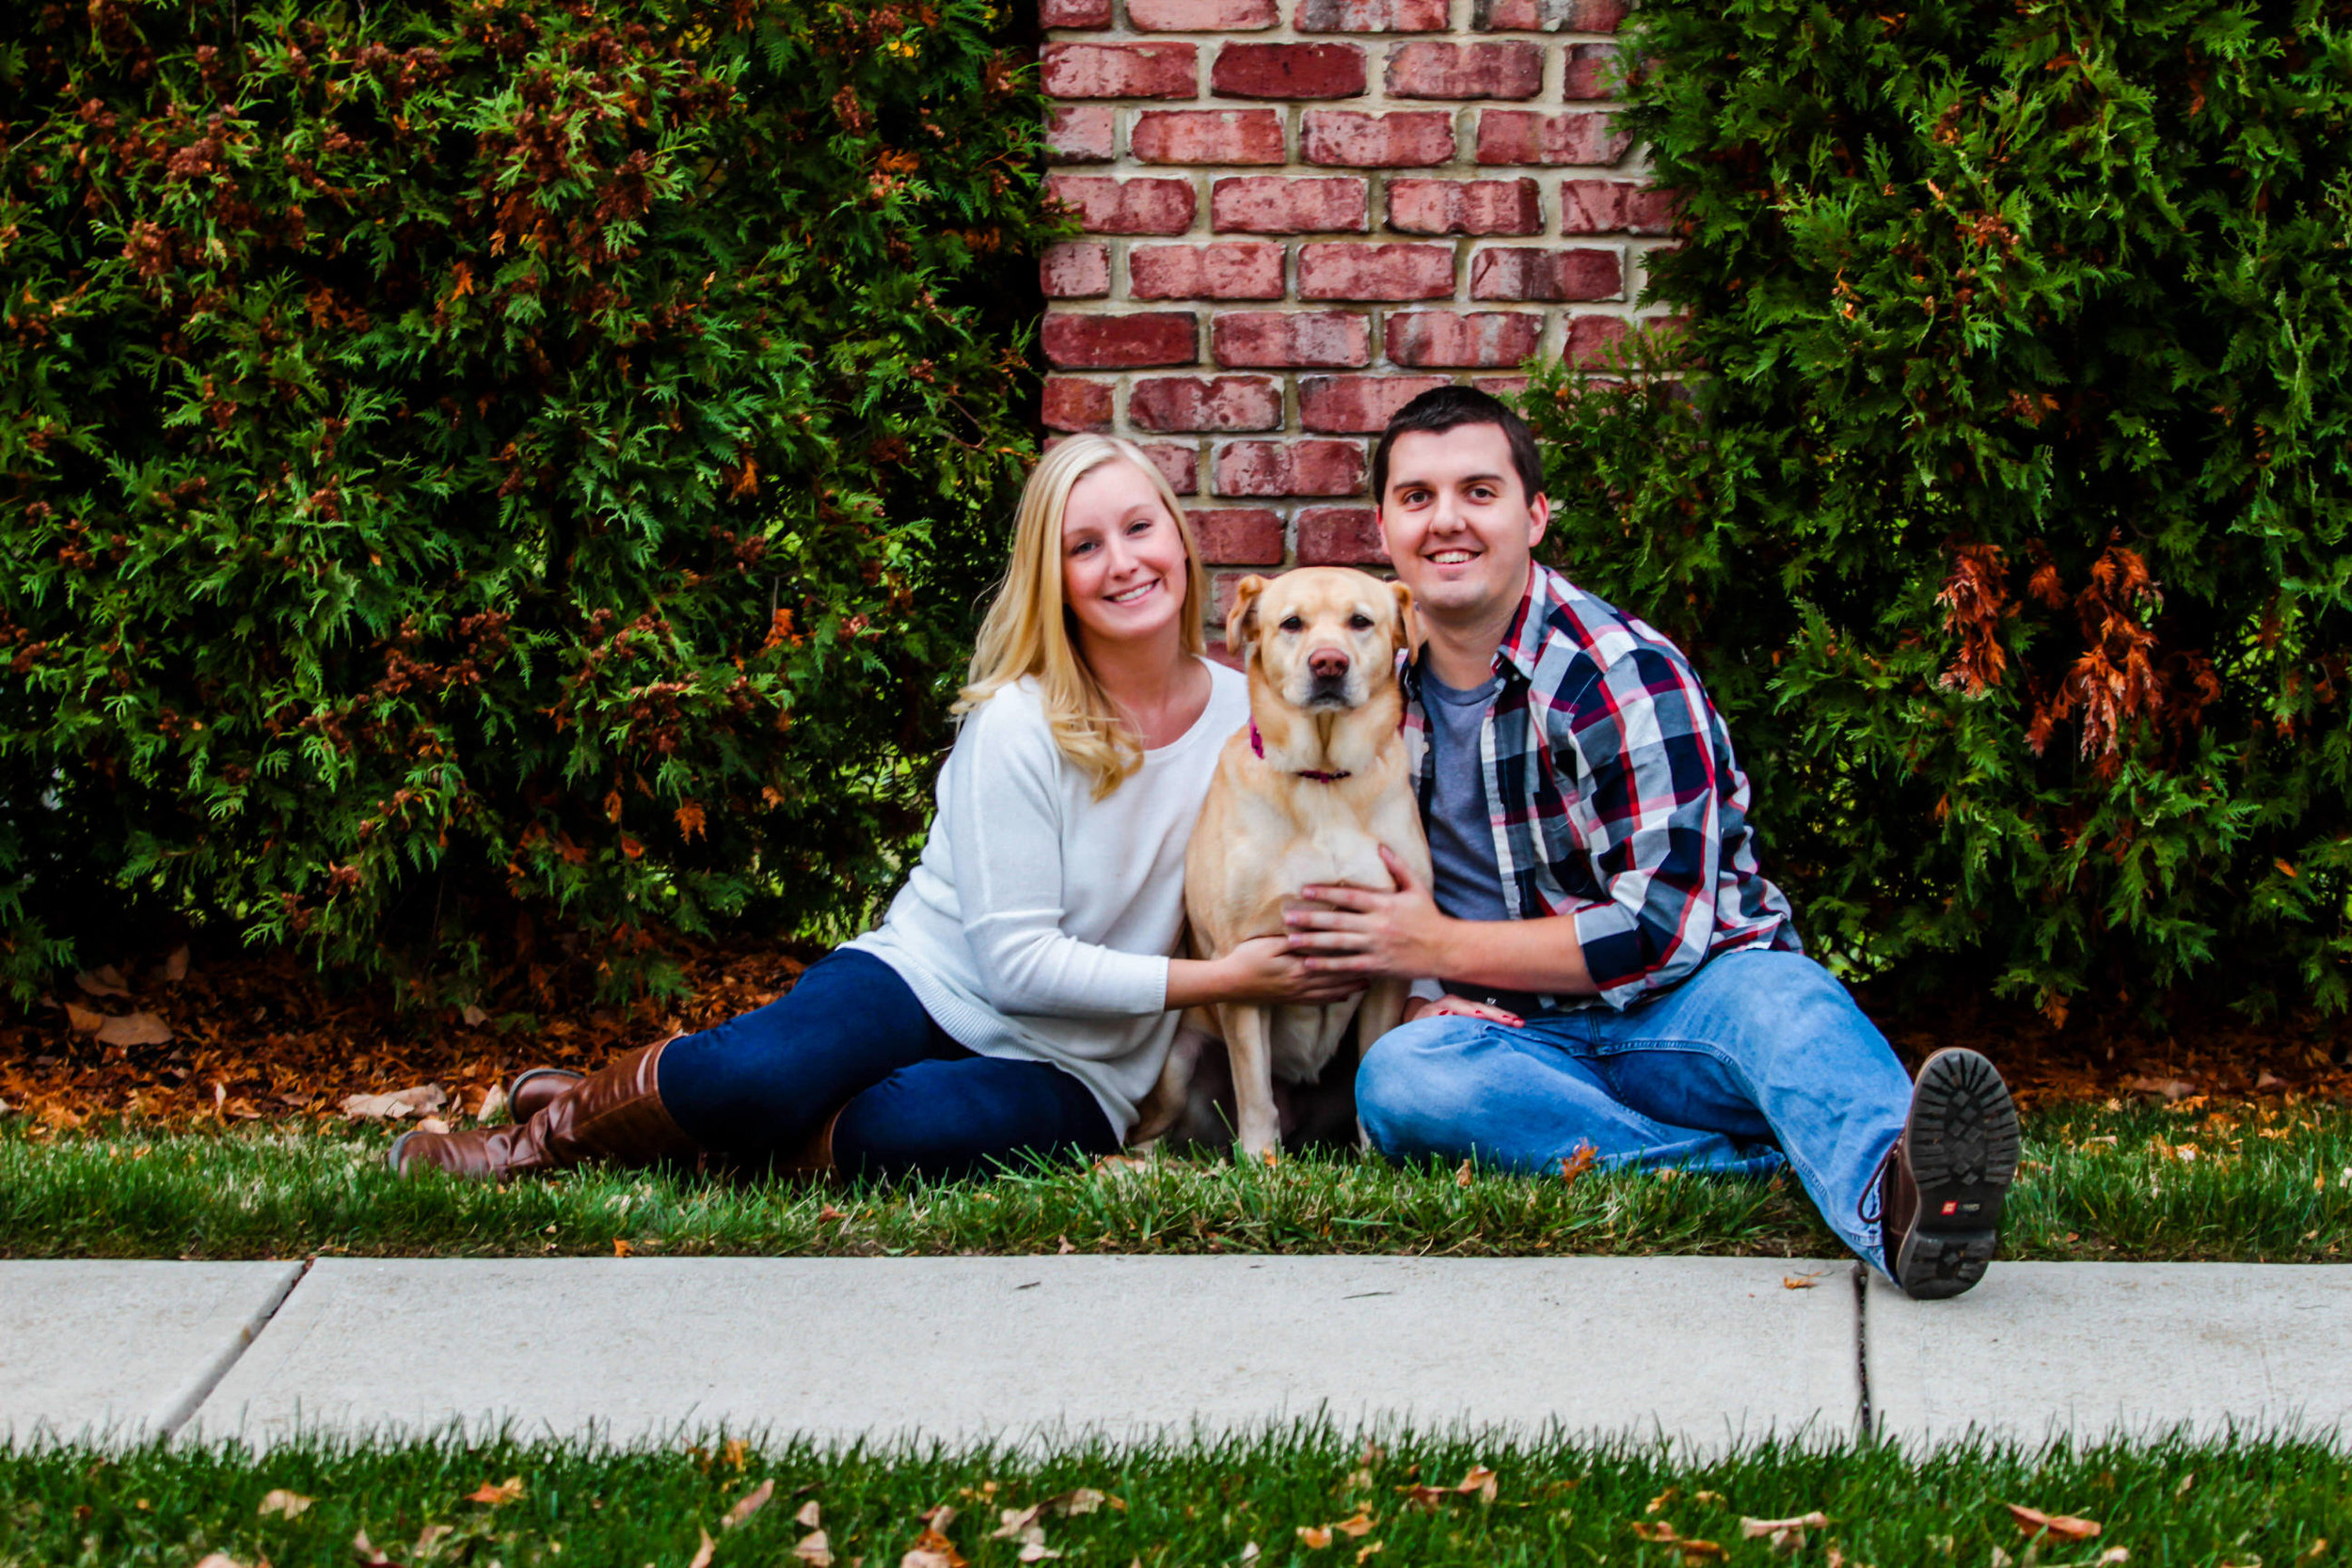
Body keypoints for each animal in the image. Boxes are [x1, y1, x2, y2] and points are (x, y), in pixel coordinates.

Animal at [1152, 563, 1439, 1151]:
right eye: (1291, 624)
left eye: (1360, 622)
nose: (1328, 663)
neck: (1323, 779)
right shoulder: (1242, 965)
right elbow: (1256, 1092)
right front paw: (1261, 1162)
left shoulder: (1389, 960)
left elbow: (1370, 1067)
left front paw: (1374, 1160)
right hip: (1176, 1066)